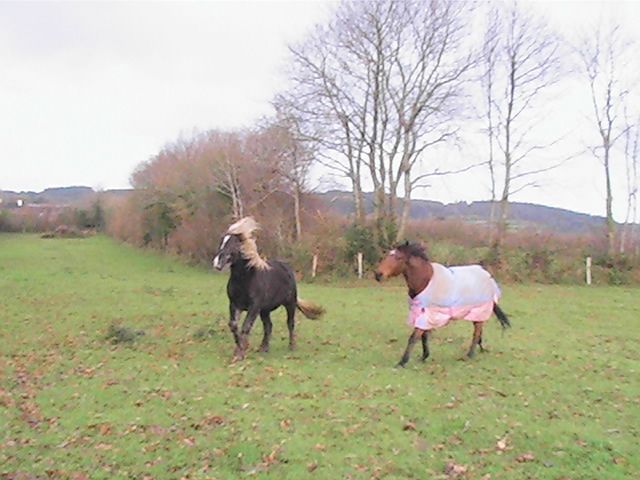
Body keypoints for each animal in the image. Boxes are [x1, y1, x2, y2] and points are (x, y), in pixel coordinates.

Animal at [212, 217, 325, 361]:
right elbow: (233, 325)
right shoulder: (234, 305)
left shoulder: (254, 307)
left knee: (290, 323)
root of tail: (287, 268)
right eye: (222, 242)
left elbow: (246, 326)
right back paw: (264, 348)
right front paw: (240, 348)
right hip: (265, 310)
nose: (217, 263)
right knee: (268, 326)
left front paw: (240, 352)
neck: (245, 279)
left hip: (289, 304)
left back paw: (291, 346)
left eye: (234, 244)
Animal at [374, 241, 510, 367]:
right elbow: (423, 336)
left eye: (398, 258)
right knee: (479, 331)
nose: (378, 274)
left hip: (479, 311)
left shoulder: (426, 314)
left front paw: (402, 362)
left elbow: (414, 337)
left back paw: (469, 355)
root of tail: (488, 276)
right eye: (387, 255)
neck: (425, 280)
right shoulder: (423, 314)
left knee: (476, 333)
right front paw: (424, 356)